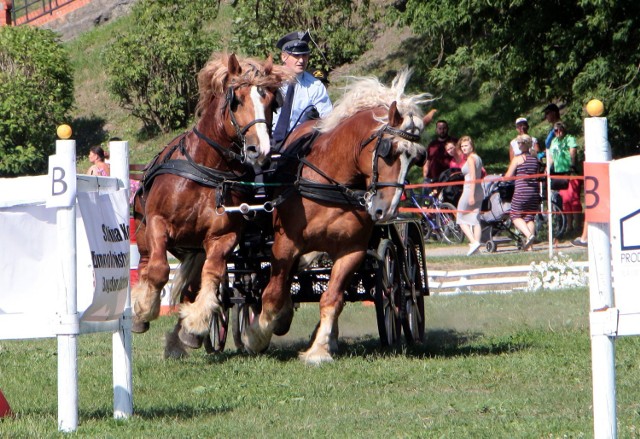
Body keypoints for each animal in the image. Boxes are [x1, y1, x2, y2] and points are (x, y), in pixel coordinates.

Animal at [132, 52, 292, 340]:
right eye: (237, 100)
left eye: (272, 103)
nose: (260, 150)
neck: (208, 171)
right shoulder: (158, 221)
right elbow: (159, 270)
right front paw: (145, 308)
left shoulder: (223, 237)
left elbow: (213, 274)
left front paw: (196, 322)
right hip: (144, 230)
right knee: (146, 262)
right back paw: (140, 309)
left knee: (193, 281)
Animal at [244, 69, 436, 364]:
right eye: (388, 151)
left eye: (418, 158)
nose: (386, 210)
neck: (331, 180)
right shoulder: (285, 245)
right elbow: (273, 293)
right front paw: (257, 335)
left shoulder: (351, 250)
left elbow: (332, 298)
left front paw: (319, 349)